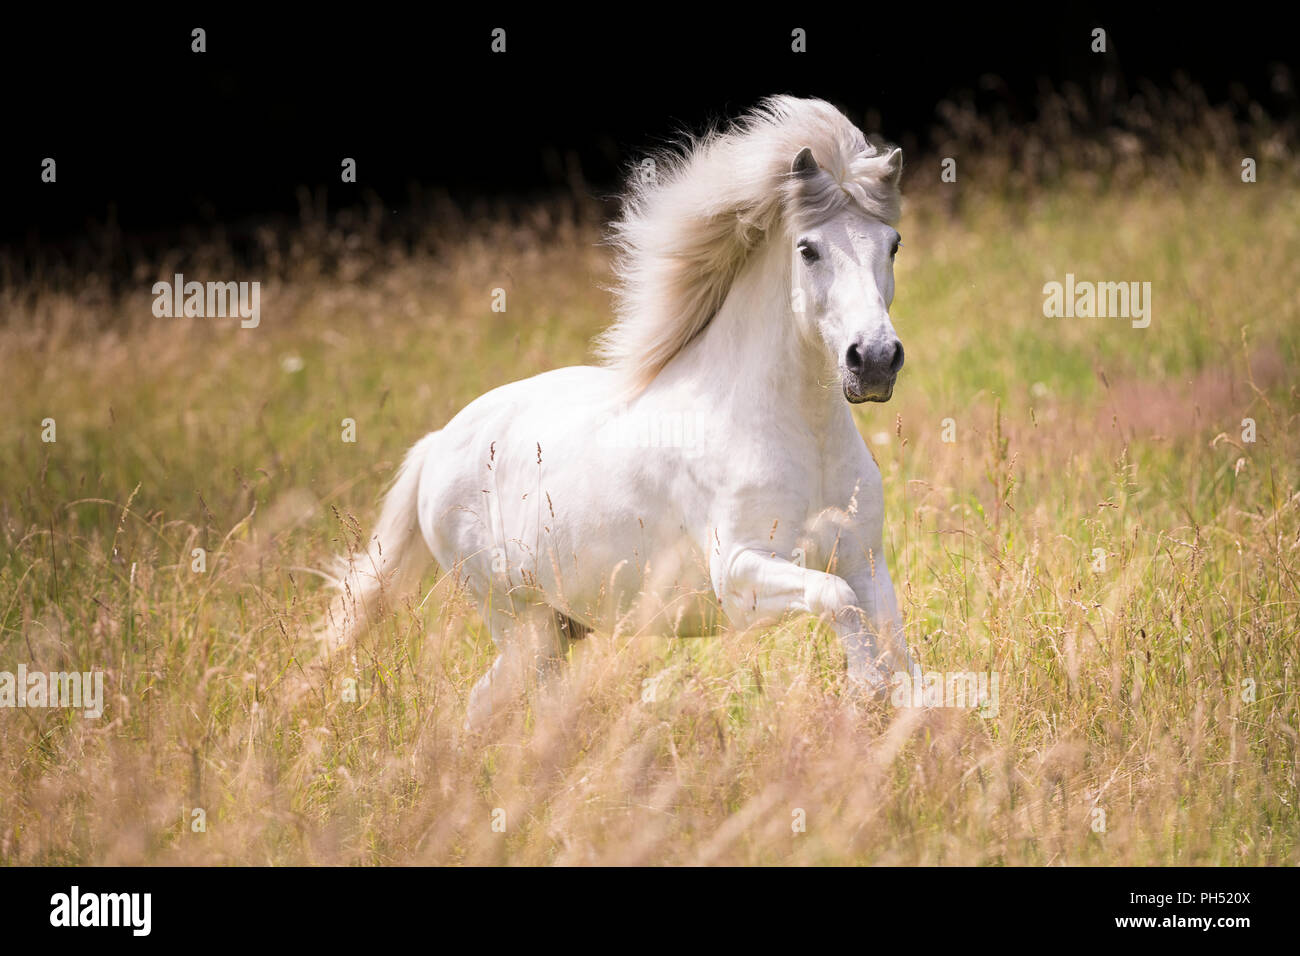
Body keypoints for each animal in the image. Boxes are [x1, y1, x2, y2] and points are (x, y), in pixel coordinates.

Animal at [322, 97, 915, 723]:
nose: (875, 360)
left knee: (490, 705)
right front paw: (864, 693)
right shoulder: (739, 576)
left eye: (893, 243)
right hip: (521, 622)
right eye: (808, 249)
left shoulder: (865, 561)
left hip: (557, 627)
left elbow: (895, 645)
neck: (800, 434)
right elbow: (840, 605)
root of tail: (438, 444)